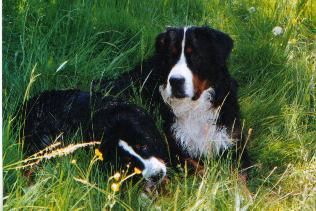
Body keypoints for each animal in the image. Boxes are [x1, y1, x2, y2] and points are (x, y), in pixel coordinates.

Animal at [92, 26, 251, 171]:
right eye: (170, 57)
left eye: (195, 56)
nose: (175, 81)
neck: (194, 107)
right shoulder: (175, 148)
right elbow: (200, 169)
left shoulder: (234, 143)